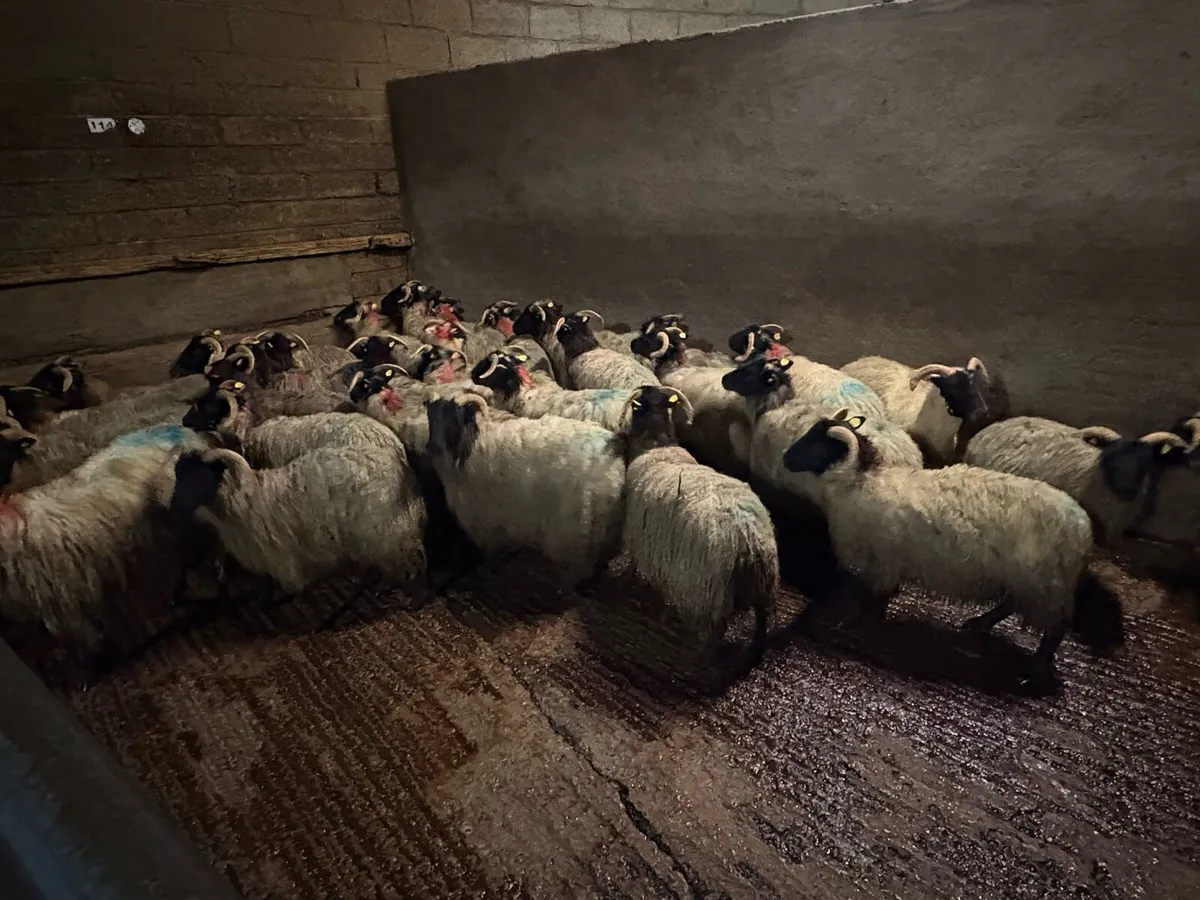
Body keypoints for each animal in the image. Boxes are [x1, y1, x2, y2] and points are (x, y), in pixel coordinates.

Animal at [619, 386, 778, 676]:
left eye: (637, 407)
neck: (658, 443)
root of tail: (748, 537)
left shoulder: (638, 531)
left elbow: (634, 562)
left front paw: (627, 578)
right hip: (764, 584)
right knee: (762, 625)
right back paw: (754, 655)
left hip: (712, 589)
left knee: (717, 628)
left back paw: (702, 659)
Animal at [781, 409, 1125, 686]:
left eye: (817, 443)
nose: (785, 458)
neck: (862, 482)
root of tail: (1083, 528)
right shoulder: (885, 559)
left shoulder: (883, 558)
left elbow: (875, 597)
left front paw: (856, 624)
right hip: (1028, 579)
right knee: (1010, 605)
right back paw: (978, 624)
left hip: (1046, 584)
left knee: (1055, 629)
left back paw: (1035, 669)